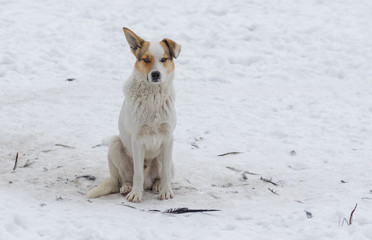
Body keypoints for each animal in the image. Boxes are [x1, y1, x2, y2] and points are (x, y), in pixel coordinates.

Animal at [87, 27, 180, 202]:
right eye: (145, 60)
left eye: (164, 59)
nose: (155, 74)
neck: (153, 98)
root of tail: (148, 183)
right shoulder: (137, 139)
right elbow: (137, 174)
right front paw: (136, 194)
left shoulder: (168, 138)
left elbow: (165, 174)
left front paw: (165, 191)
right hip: (115, 144)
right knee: (125, 178)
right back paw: (127, 187)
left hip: (169, 160)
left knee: (162, 175)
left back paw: (157, 185)